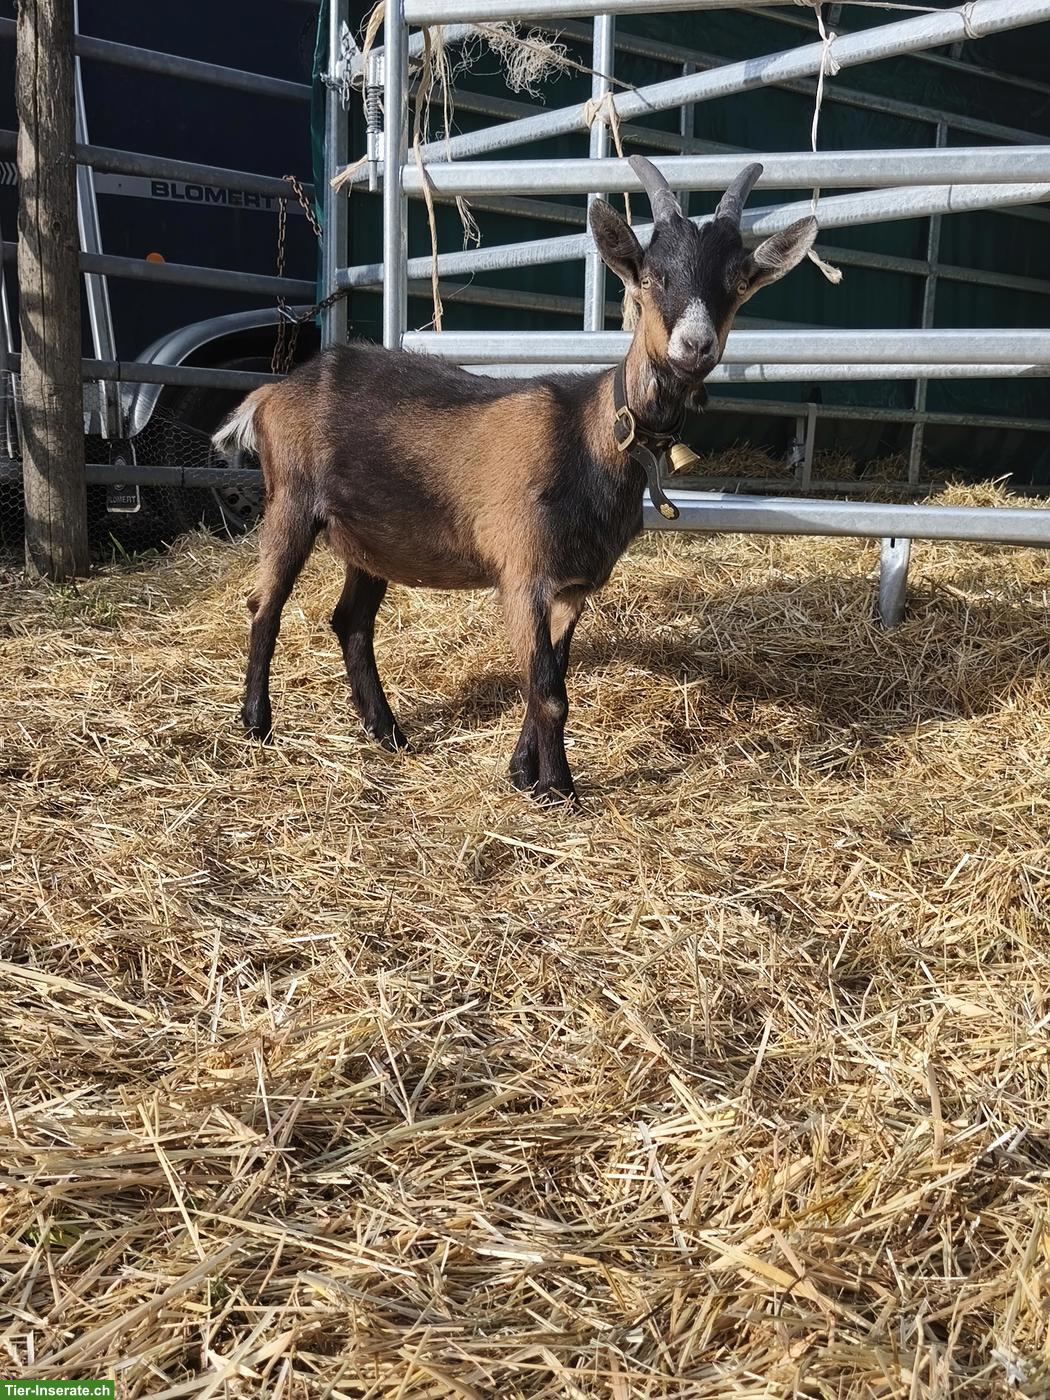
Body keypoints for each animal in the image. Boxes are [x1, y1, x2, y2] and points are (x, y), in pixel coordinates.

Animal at [213, 158, 816, 802]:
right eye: (651, 276)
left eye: (739, 281)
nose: (695, 346)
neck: (589, 434)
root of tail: (273, 393)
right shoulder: (524, 573)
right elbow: (550, 693)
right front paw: (560, 790)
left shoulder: (572, 586)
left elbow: (547, 677)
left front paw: (524, 774)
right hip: (291, 501)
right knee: (265, 603)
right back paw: (256, 722)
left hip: (370, 539)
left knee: (351, 621)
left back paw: (387, 731)